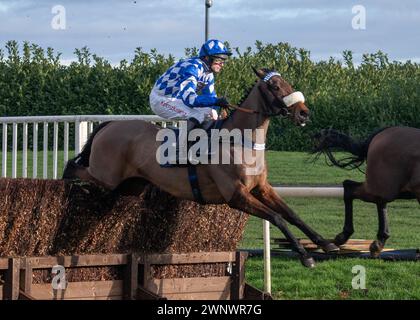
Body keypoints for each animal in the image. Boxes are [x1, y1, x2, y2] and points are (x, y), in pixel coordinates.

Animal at [63, 67, 338, 268]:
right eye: (274, 86)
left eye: (287, 82)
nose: (304, 113)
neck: (240, 140)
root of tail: (110, 125)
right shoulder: (236, 195)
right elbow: (278, 217)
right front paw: (306, 256)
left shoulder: (261, 188)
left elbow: (292, 214)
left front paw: (326, 244)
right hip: (105, 175)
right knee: (73, 167)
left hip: (131, 186)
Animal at [312, 127, 420, 258]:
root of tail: (383, 132)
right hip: (384, 187)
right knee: (350, 189)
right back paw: (346, 236)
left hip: (396, 190)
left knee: (377, 200)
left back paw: (379, 241)